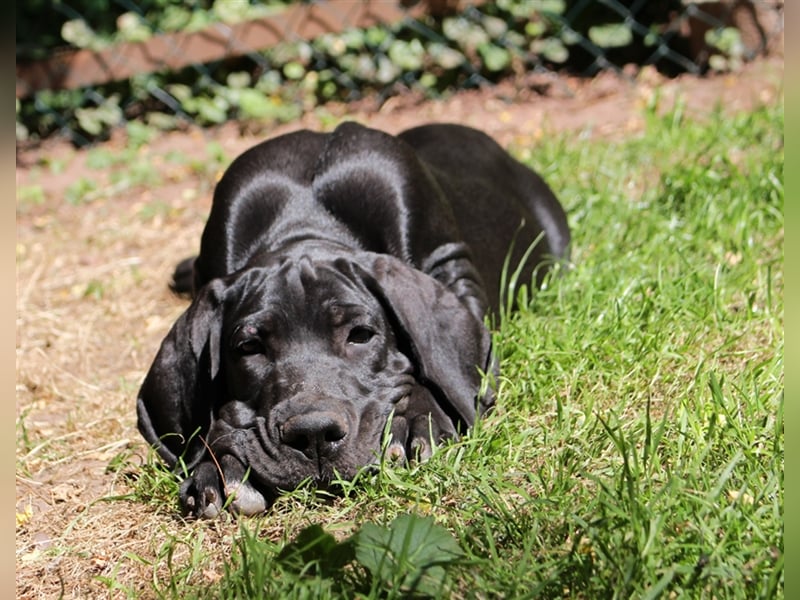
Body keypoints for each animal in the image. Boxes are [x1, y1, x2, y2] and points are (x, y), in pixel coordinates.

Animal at [136, 122, 568, 516]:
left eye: (360, 335)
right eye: (249, 347)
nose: (312, 435)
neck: (304, 224)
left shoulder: (452, 265)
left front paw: (417, 422)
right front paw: (217, 467)